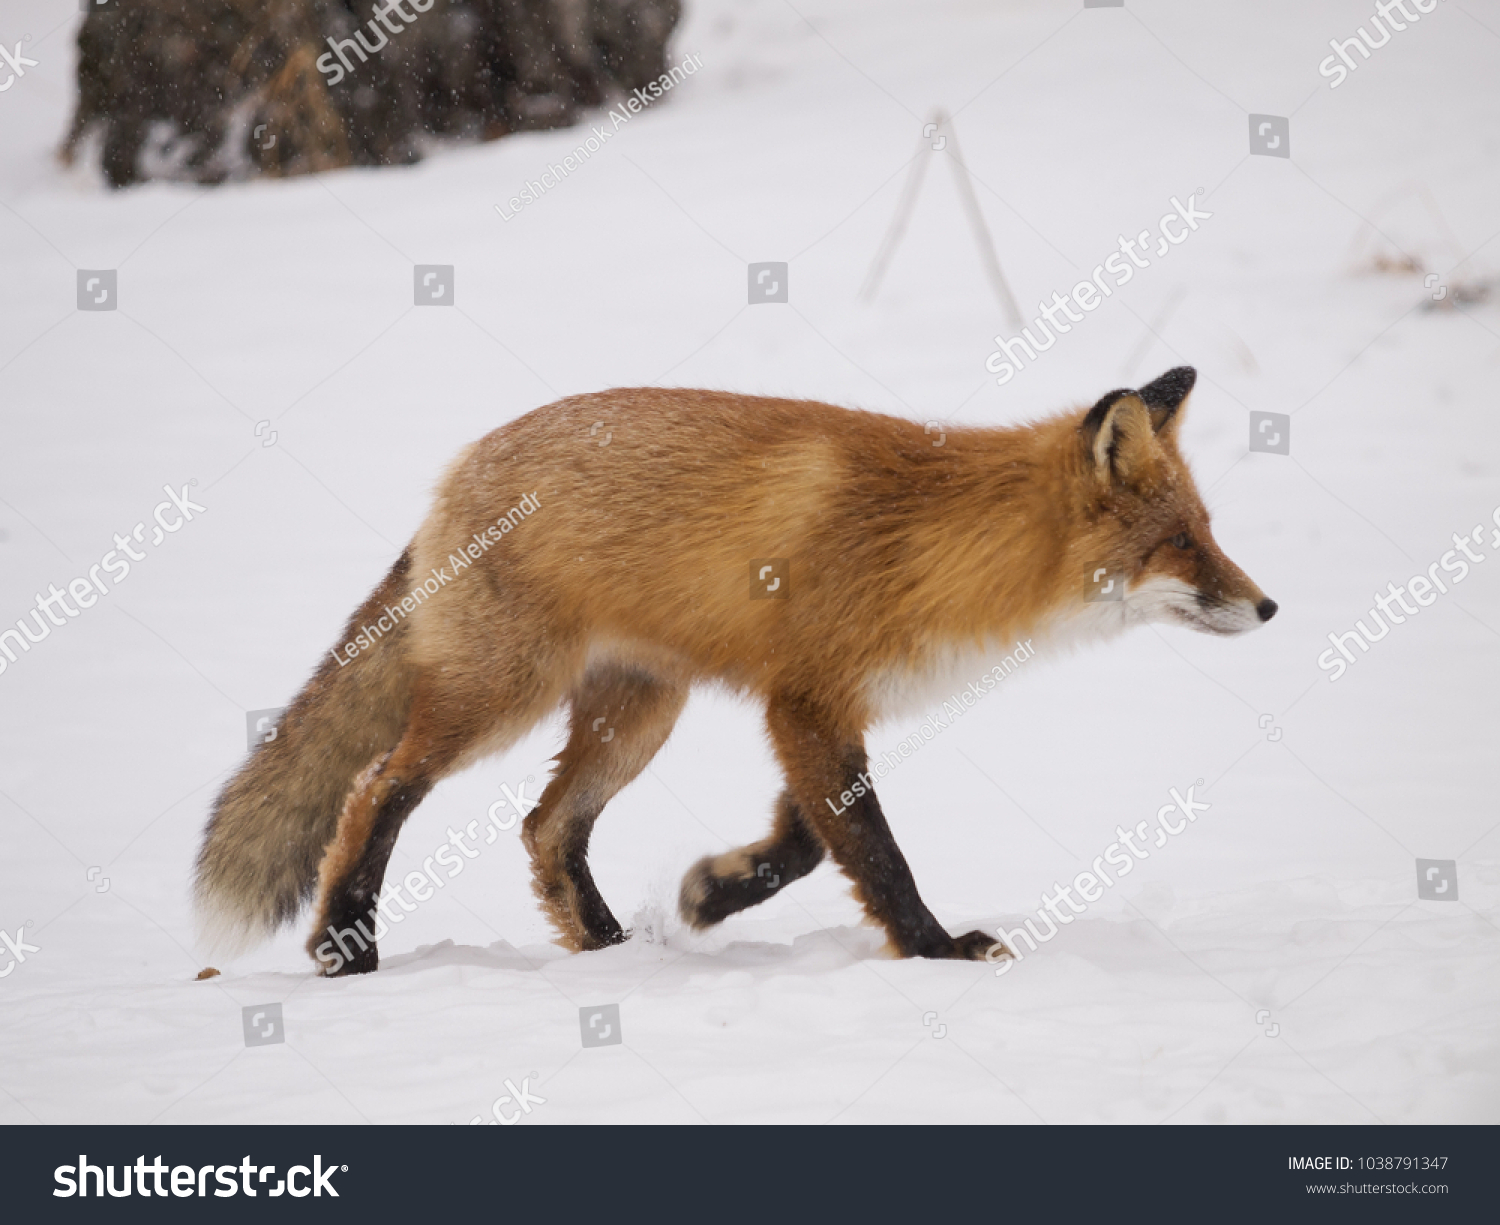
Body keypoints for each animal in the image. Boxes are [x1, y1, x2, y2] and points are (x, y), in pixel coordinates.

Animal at [194, 366, 1276, 975]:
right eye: (1182, 542)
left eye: (1209, 529)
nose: (1270, 607)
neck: (931, 545)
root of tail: (454, 474)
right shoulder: (804, 702)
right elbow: (873, 851)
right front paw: (935, 949)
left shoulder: (826, 709)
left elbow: (805, 846)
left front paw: (710, 896)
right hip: (501, 698)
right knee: (376, 789)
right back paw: (347, 945)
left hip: (638, 714)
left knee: (546, 826)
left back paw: (606, 949)